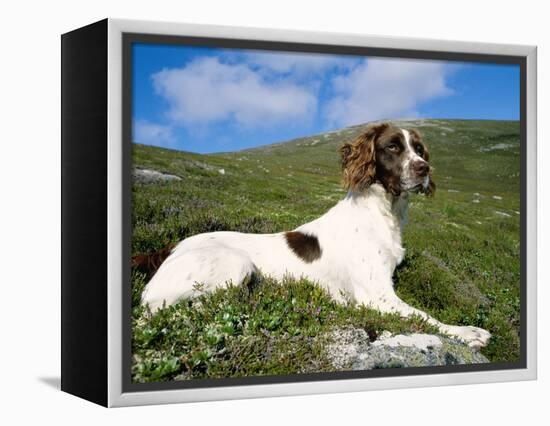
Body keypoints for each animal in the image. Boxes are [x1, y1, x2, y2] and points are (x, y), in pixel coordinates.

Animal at [140, 121, 494, 348]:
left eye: (419, 149)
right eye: (392, 146)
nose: (424, 169)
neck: (383, 213)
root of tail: (169, 248)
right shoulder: (376, 296)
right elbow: (424, 315)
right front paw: (468, 332)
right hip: (233, 263)